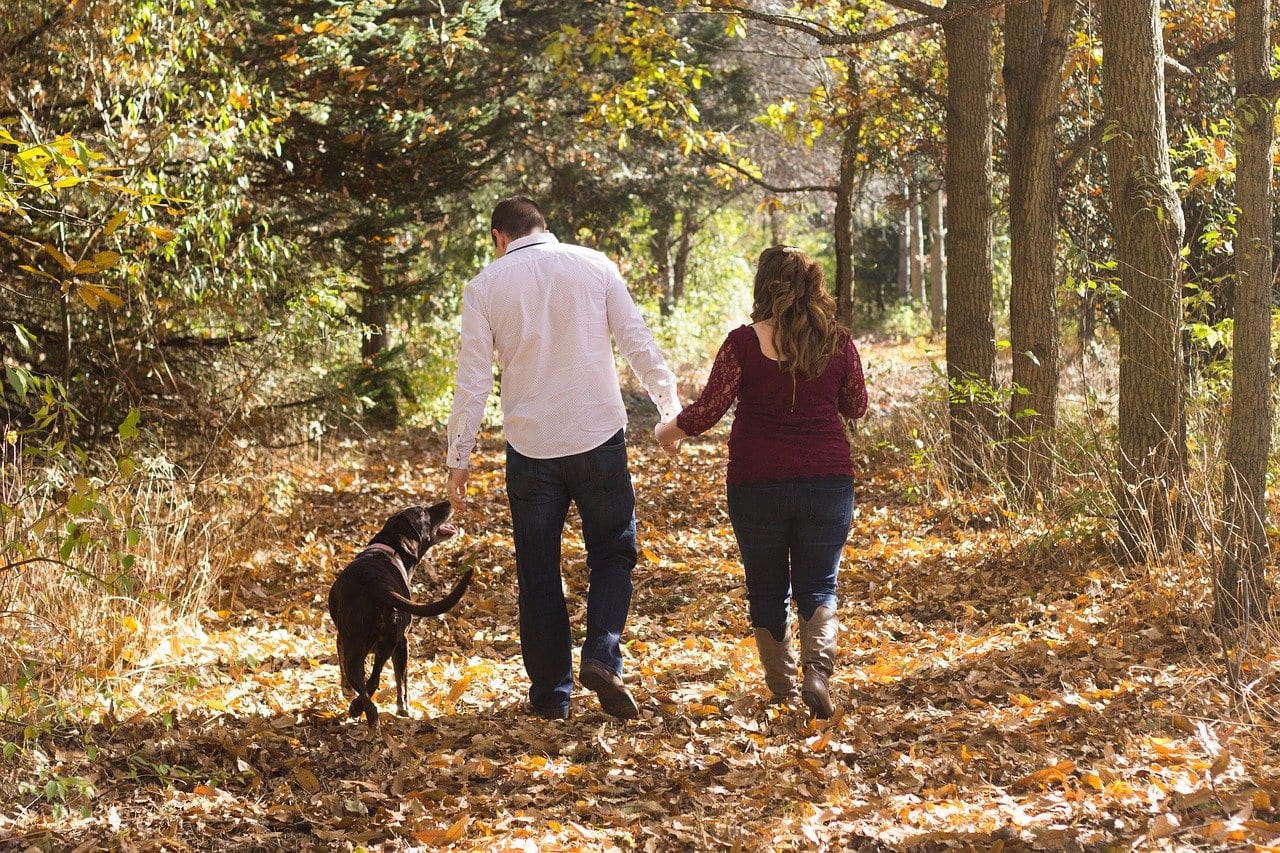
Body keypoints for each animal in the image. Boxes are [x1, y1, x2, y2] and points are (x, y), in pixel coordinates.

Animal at [327, 502, 473, 727]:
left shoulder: (340, 640)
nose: (448, 503)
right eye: (424, 511)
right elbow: (401, 678)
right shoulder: (402, 643)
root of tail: (378, 586)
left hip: (356, 647)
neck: (388, 548)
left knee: (365, 684)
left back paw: (361, 712)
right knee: (374, 680)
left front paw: (346, 692)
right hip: (392, 643)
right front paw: (403, 709)